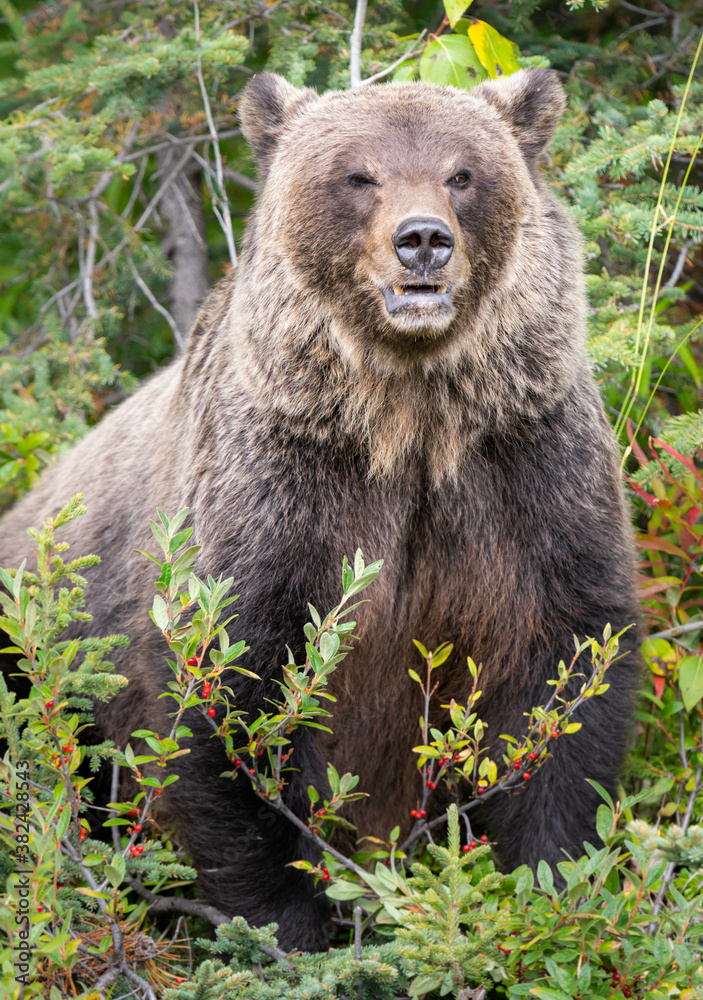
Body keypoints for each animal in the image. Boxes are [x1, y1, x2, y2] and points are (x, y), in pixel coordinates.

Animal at [0, 68, 640, 952]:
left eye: (461, 173)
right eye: (358, 175)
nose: (422, 240)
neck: (408, 422)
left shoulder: (524, 475)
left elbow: (562, 672)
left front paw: (546, 887)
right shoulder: (279, 499)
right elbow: (230, 692)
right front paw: (286, 926)